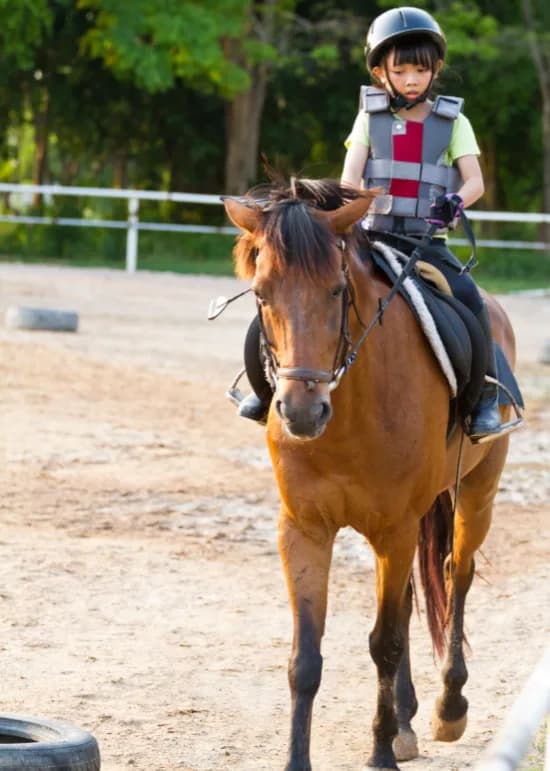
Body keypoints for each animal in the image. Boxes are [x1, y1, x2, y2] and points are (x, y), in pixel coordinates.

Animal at [223, 179, 516, 771]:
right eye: (262, 295)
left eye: (337, 291)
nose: (302, 412)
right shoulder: (305, 530)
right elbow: (306, 658)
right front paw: (302, 759)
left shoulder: (394, 529)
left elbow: (385, 643)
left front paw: (381, 752)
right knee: (408, 601)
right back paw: (405, 719)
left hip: (476, 493)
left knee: (457, 573)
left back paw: (448, 707)